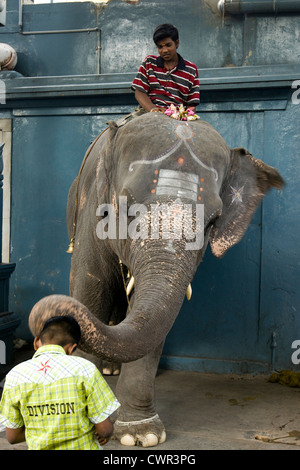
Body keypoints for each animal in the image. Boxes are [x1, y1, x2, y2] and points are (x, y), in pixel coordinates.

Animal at [28, 113, 284, 448]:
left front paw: (141, 435)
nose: (45, 307)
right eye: (125, 207)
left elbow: (150, 316)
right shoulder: (91, 211)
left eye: (212, 222)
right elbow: (91, 288)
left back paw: (111, 369)